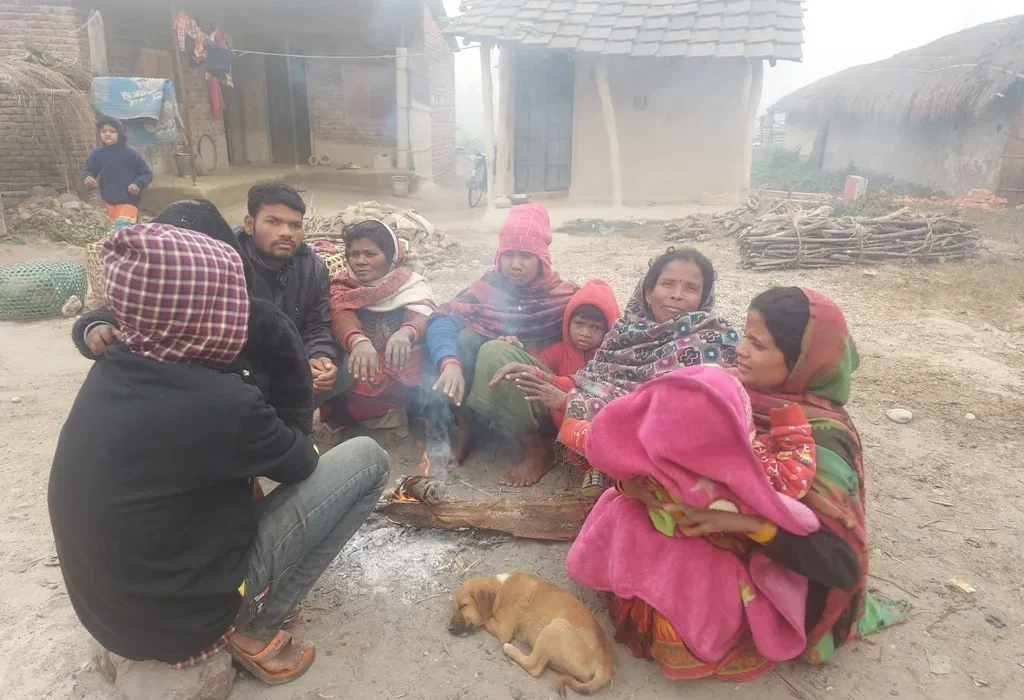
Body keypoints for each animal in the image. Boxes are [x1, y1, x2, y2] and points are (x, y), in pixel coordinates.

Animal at [448, 571, 614, 696]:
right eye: (454, 608)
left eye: (463, 606)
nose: (449, 629)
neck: (500, 589)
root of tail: (605, 665)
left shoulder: (503, 629)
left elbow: (484, 620)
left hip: (554, 628)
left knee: (534, 667)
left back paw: (510, 649)